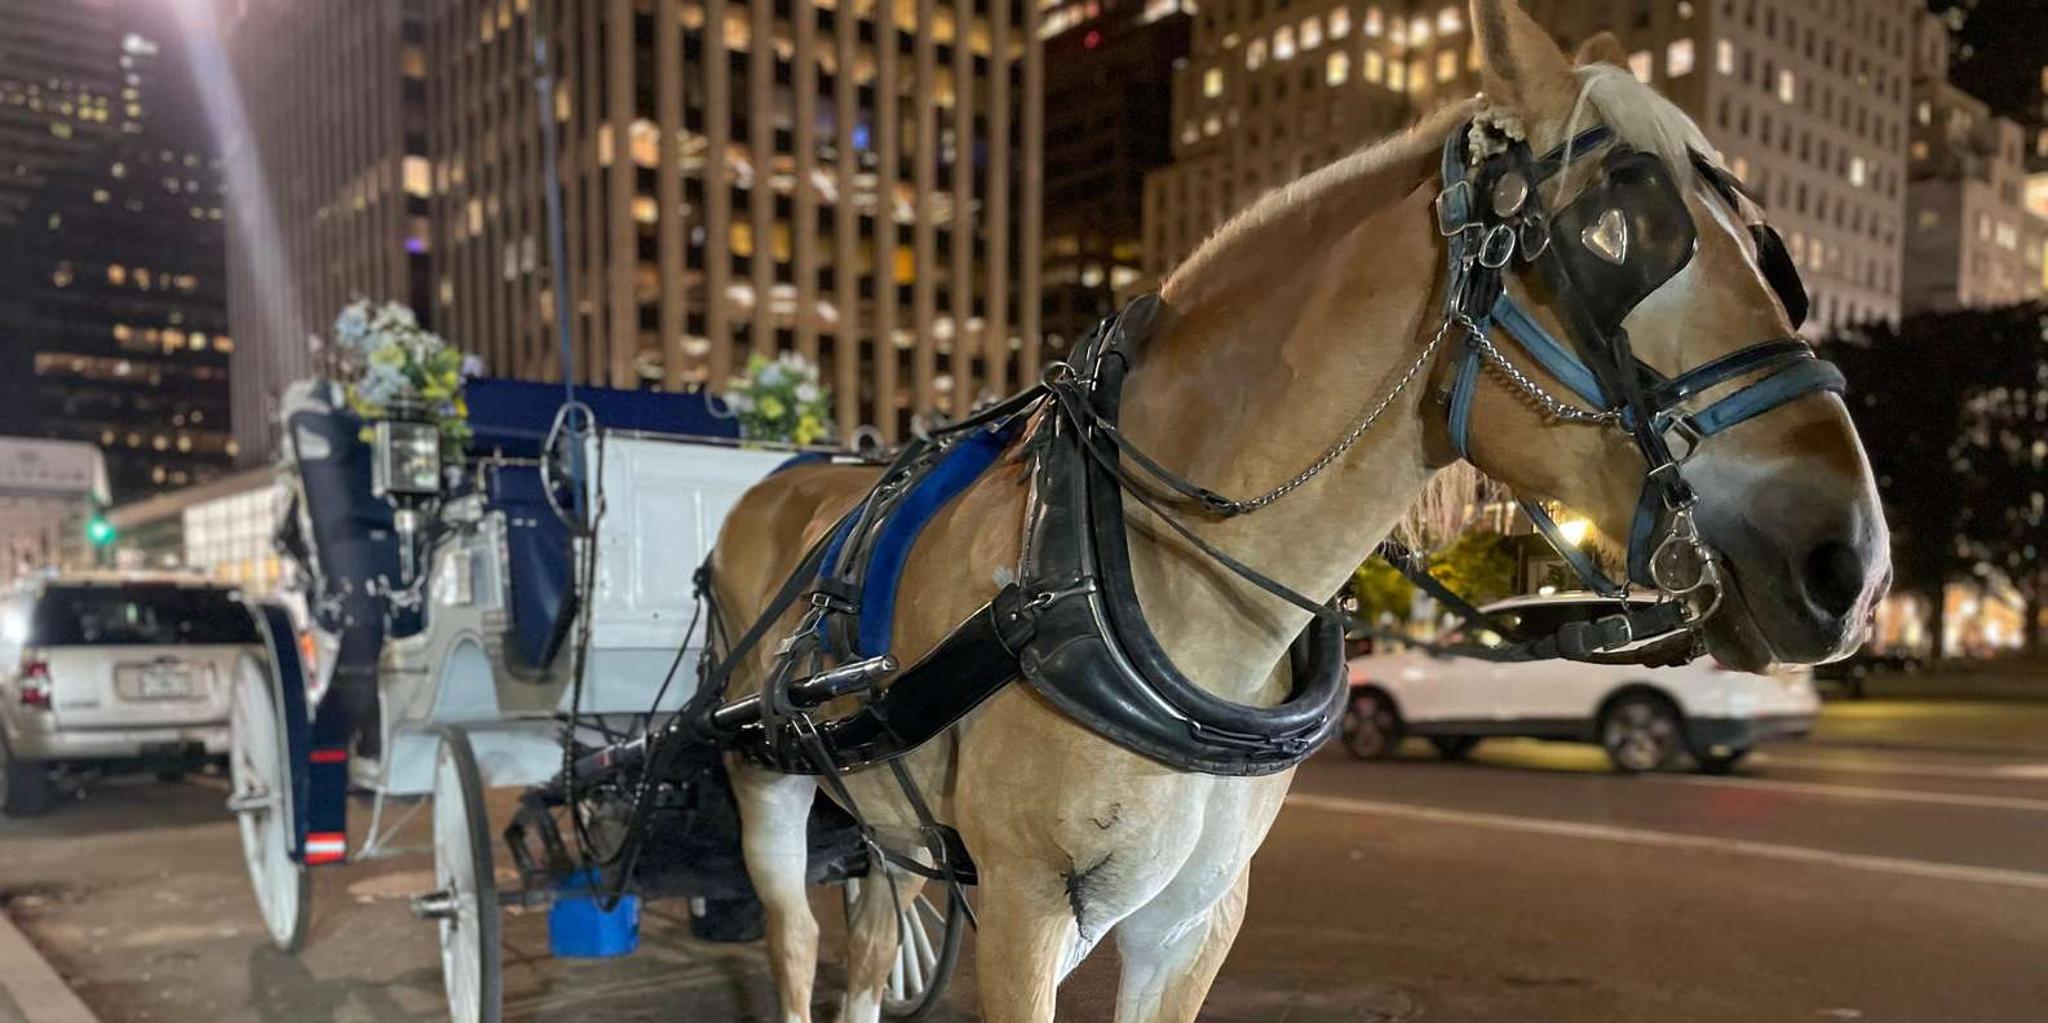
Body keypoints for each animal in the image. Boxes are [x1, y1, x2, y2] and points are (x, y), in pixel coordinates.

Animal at [708, 1, 1891, 1019]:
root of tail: (780, 478)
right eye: (1614, 238)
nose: (1853, 566)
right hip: (763, 783)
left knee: (870, 950)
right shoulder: (1024, 906)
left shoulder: (1194, 919)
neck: (1138, 572)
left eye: (1772, 257)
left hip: (883, 818)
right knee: (798, 945)